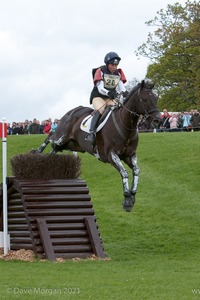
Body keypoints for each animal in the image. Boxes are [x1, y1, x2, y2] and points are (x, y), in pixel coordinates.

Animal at [32, 79, 161, 211]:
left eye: (156, 99)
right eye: (145, 100)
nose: (158, 120)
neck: (125, 126)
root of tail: (71, 111)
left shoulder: (130, 155)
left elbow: (136, 171)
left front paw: (132, 196)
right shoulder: (111, 155)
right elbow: (124, 172)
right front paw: (127, 198)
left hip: (72, 145)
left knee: (54, 150)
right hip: (62, 137)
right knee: (51, 136)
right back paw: (37, 152)